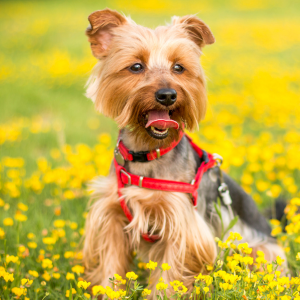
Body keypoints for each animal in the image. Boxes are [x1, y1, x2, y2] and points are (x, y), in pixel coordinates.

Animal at [82, 8, 286, 296]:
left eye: (179, 67)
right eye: (136, 66)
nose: (167, 94)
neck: (149, 152)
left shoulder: (183, 226)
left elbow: (169, 278)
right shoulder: (112, 217)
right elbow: (111, 268)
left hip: (258, 249)